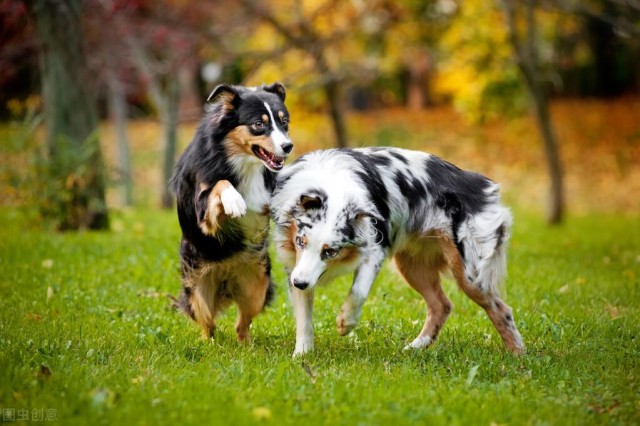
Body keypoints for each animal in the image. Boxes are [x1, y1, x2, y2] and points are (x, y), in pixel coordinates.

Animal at [169, 82, 292, 342]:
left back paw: (246, 345)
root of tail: (227, 275)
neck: (243, 161)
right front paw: (234, 201)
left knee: (241, 325)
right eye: (258, 124)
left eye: (284, 121)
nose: (288, 146)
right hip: (198, 287)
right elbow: (220, 184)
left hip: (257, 283)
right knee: (208, 324)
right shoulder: (204, 211)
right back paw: (209, 344)